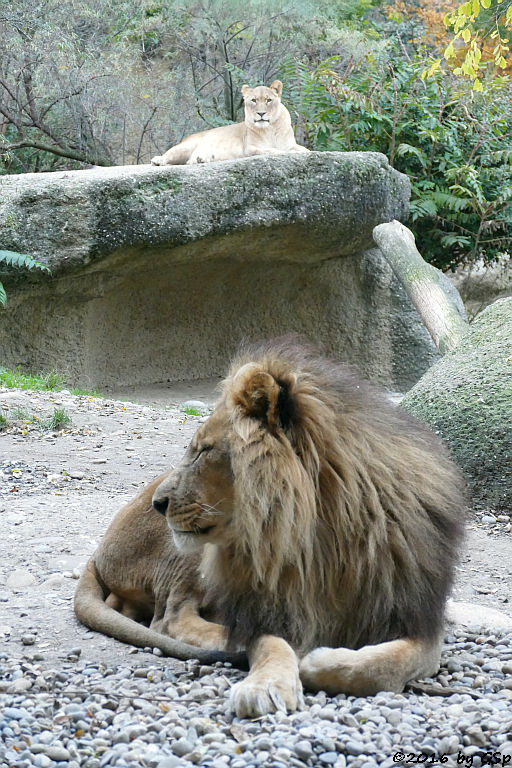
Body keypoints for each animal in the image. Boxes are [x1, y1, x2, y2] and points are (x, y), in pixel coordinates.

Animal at [75, 342, 464, 720]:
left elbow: (383, 665)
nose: (158, 503)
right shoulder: (266, 608)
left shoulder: (419, 620)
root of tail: (100, 549)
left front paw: (324, 660)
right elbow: (272, 644)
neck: (322, 543)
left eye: (203, 451)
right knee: (169, 618)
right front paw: (265, 685)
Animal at [149, 80, 308, 166]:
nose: (261, 113)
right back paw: (158, 160)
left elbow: (304, 150)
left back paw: (202, 159)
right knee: (168, 156)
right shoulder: (250, 148)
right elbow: (273, 150)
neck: (270, 128)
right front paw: (286, 153)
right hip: (185, 146)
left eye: (269, 100)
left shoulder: (290, 144)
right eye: (254, 100)